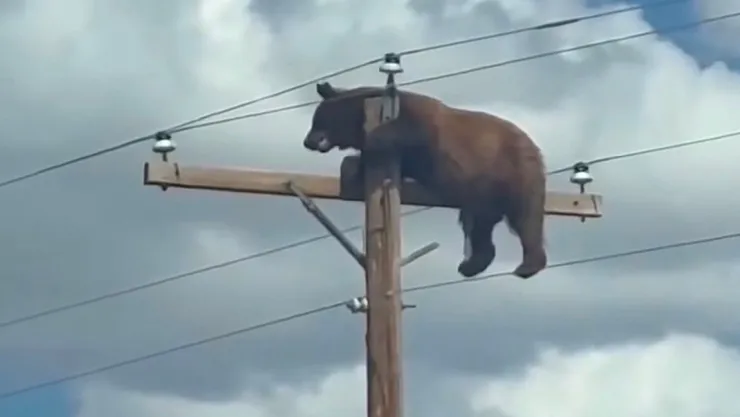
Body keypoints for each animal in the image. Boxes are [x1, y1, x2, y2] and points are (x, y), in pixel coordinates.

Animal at [303, 81, 547, 279]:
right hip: (481, 192)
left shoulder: (422, 123)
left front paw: (368, 143)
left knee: (526, 217)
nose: (307, 141)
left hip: (514, 170)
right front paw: (353, 168)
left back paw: (527, 265)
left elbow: (409, 130)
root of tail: (534, 147)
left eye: (316, 120)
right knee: (479, 226)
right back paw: (470, 265)